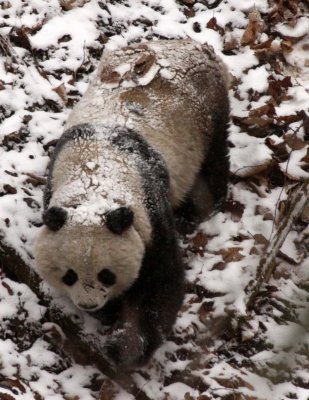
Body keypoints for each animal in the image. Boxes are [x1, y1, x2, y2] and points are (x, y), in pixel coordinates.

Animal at [33, 39, 229, 368]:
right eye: (69, 274)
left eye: (106, 274)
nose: (89, 304)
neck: (94, 179)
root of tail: (189, 44)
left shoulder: (151, 212)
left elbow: (161, 286)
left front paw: (123, 346)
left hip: (208, 109)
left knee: (214, 158)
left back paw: (197, 207)